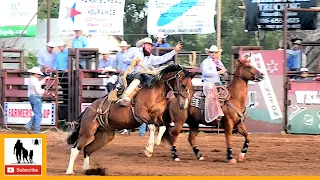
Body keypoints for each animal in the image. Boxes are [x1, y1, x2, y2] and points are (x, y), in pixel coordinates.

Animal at [64, 64, 195, 174]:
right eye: (183, 85)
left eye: (192, 88)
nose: (184, 105)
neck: (156, 92)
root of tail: (88, 109)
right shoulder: (141, 114)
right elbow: (152, 127)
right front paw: (149, 150)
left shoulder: (157, 116)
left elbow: (162, 127)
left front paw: (157, 142)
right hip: (87, 131)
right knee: (75, 149)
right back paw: (69, 171)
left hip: (105, 135)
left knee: (87, 149)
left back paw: (87, 170)